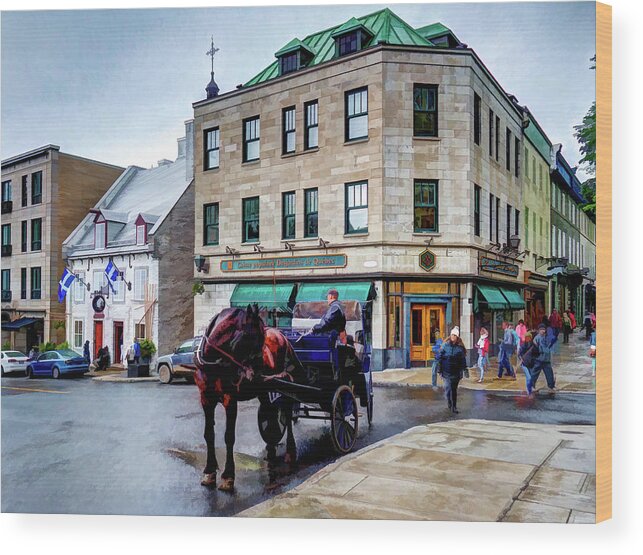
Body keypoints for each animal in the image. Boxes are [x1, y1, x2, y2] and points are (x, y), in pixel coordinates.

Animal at [194, 306, 304, 494]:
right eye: (251, 337)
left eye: (262, 340)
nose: (260, 374)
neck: (215, 362)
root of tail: (282, 336)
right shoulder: (206, 399)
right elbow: (208, 434)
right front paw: (209, 472)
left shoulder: (230, 400)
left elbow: (229, 436)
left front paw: (228, 476)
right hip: (265, 390)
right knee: (270, 412)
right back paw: (271, 447)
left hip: (285, 385)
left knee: (288, 416)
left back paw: (290, 451)